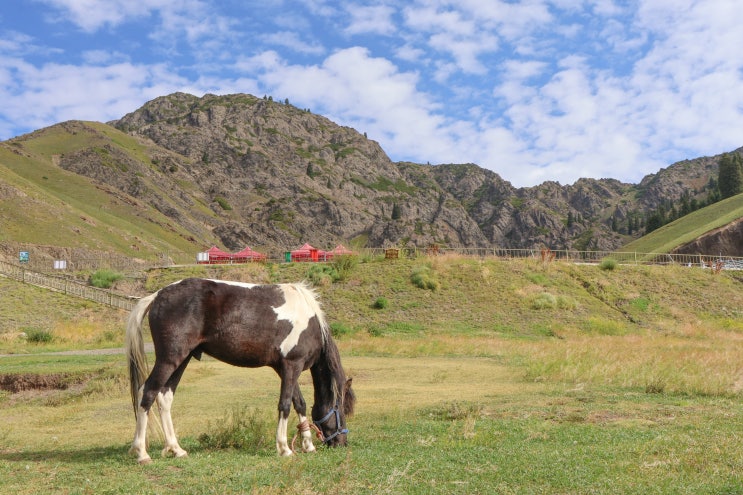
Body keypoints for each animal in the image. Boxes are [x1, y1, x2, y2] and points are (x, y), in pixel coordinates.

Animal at [125, 277, 355, 464]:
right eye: (342, 408)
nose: (342, 442)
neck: (310, 321)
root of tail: (157, 295)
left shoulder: (286, 369)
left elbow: (300, 403)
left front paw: (308, 445)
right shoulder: (292, 366)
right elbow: (285, 405)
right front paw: (284, 448)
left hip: (182, 359)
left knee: (164, 397)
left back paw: (176, 449)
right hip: (169, 359)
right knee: (148, 393)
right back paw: (142, 453)